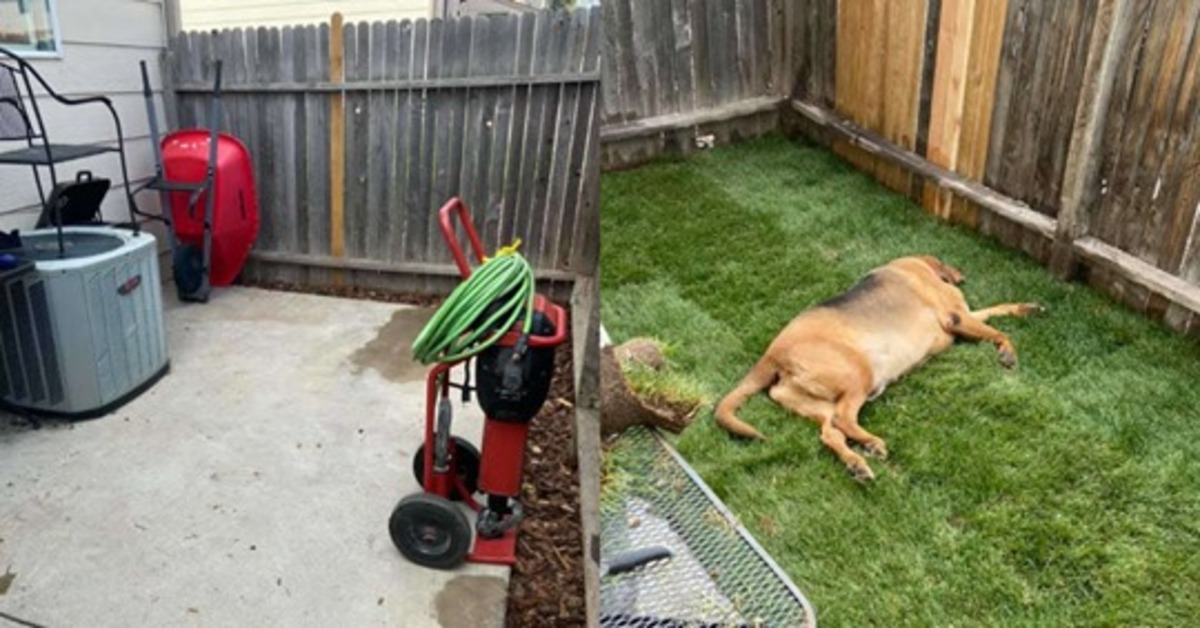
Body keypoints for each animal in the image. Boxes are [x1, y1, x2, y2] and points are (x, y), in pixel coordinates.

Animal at [710, 255, 1041, 482]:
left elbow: (997, 309)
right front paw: (1007, 352)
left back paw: (857, 463)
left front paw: (1026, 308)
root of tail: (772, 355)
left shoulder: (967, 316)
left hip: (811, 401)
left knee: (830, 434)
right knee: (843, 419)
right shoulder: (957, 316)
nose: (963, 275)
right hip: (859, 374)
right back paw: (871, 443)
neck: (916, 265)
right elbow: (999, 331)